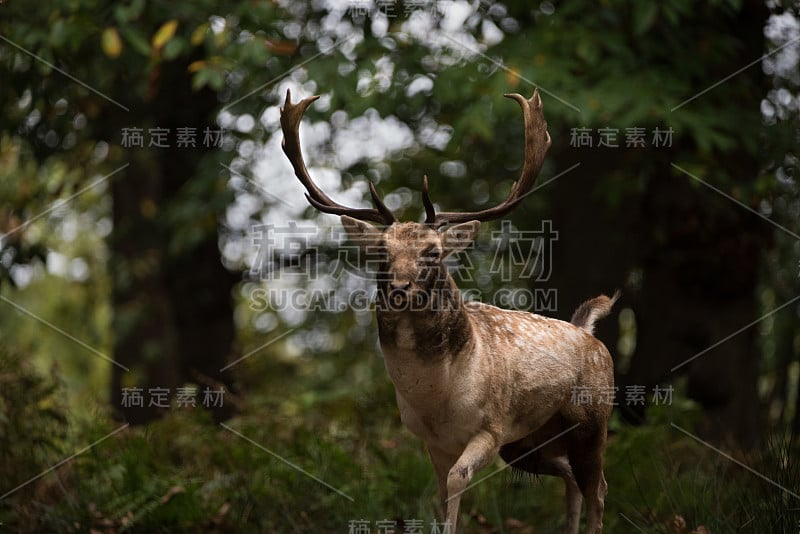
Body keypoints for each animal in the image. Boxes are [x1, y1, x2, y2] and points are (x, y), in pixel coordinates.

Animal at [278, 89, 616, 534]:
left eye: (433, 252)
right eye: (381, 251)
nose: (400, 289)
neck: (436, 398)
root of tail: (590, 333)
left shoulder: (491, 425)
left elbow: (458, 481)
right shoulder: (432, 441)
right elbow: (440, 495)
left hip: (591, 420)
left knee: (598, 487)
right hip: (533, 442)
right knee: (572, 481)